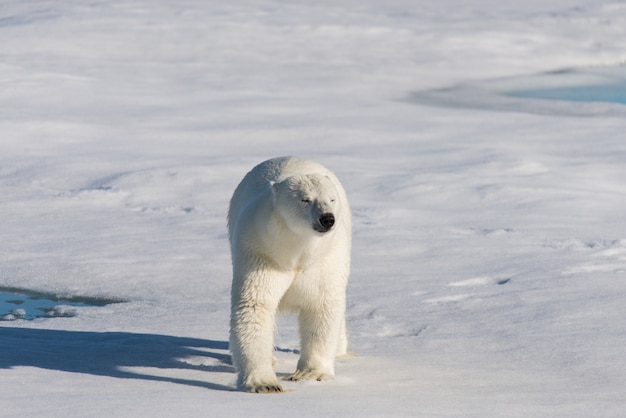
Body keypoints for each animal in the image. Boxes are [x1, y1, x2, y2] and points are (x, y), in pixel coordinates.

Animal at [227, 156, 348, 392]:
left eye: (331, 199)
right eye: (305, 199)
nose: (327, 218)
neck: (296, 251)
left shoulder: (324, 260)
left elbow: (322, 305)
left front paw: (311, 374)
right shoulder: (260, 252)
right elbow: (256, 304)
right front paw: (264, 383)